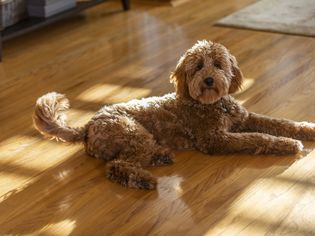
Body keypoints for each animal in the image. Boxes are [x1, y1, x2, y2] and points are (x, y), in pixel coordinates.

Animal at [33, 40, 315, 190]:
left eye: (218, 64)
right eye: (198, 66)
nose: (209, 80)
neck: (212, 105)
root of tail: (89, 124)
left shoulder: (244, 118)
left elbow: (279, 123)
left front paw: (307, 130)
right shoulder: (215, 139)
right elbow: (258, 138)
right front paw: (289, 145)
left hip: (138, 140)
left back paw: (161, 156)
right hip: (135, 134)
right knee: (117, 166)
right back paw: (144, 179)